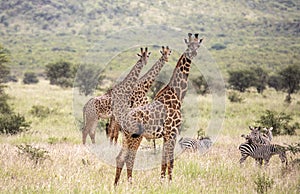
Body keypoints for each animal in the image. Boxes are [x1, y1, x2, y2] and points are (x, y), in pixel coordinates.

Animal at [113, 33, 203, 186]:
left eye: (198, 45)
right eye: (189, 45)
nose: (193, 53)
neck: (178, 95)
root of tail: (123, 120)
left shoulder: (167, 134)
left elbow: (163, 160)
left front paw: (162, 181)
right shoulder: (172, 131)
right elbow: (170, 161)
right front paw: (170, 183)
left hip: (125, 137)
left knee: (120, 157)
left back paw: (115, 185)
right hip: (135, 137)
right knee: (129, 158)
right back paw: (130, 184)